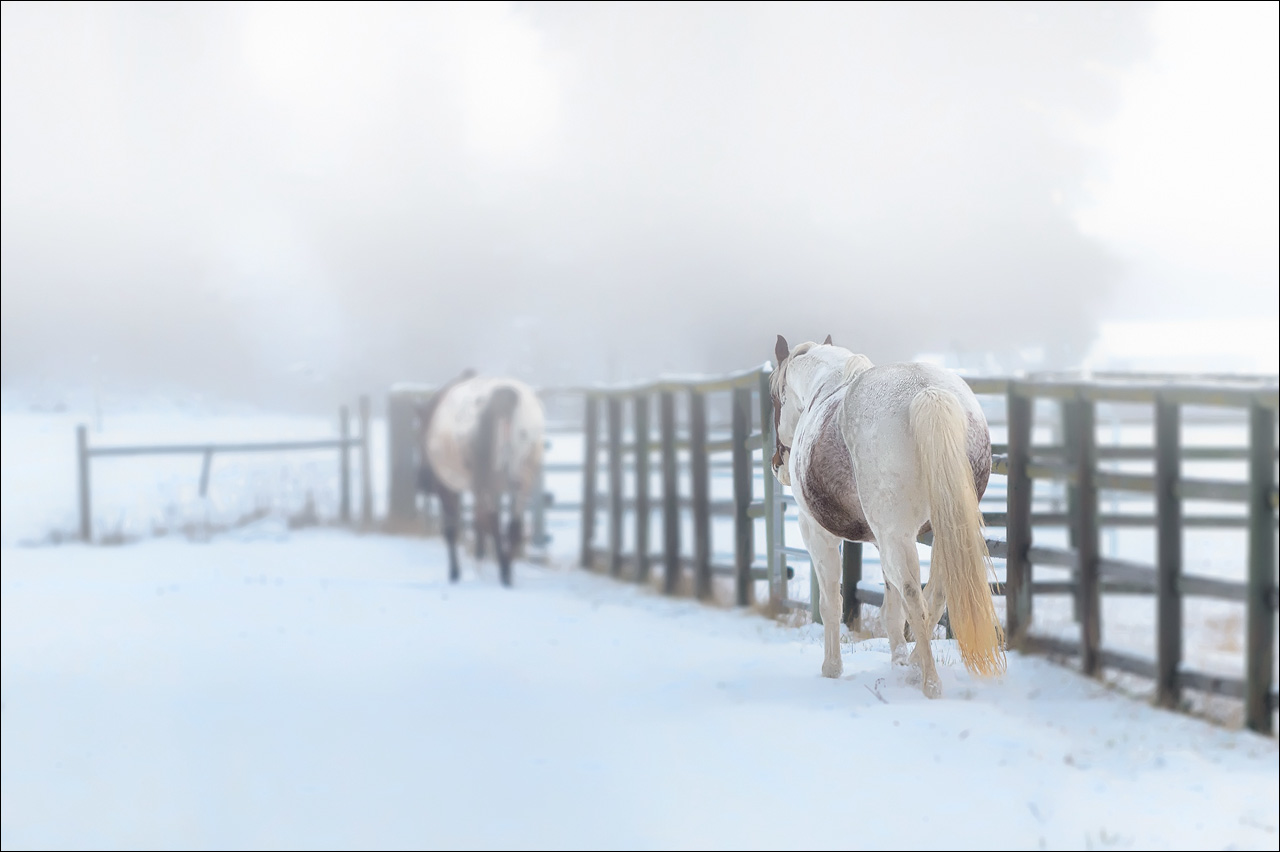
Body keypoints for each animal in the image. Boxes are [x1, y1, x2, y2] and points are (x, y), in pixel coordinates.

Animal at [417, 370, 542, 583]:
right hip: (520, 480)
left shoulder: (447, 488)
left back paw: (501, 569)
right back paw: (506, 567)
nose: (422, 483)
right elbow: (478, 521)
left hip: (487, 483)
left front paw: (455, 572)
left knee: (492, 520)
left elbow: (453, 529)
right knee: (511, 524)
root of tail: (506, 395)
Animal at [762, 332, 1003, 695]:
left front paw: (831, 669)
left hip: (898, 538)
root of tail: (927, 392)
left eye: (776, 398)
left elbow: (831, 603)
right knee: (934, 596)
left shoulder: (818, 535)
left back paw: (929, 683)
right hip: (943, 532)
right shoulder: (880, 540)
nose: (779, 465)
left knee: (915, 599)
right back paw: (915, 667)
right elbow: (891, 610)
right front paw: (898, 662)